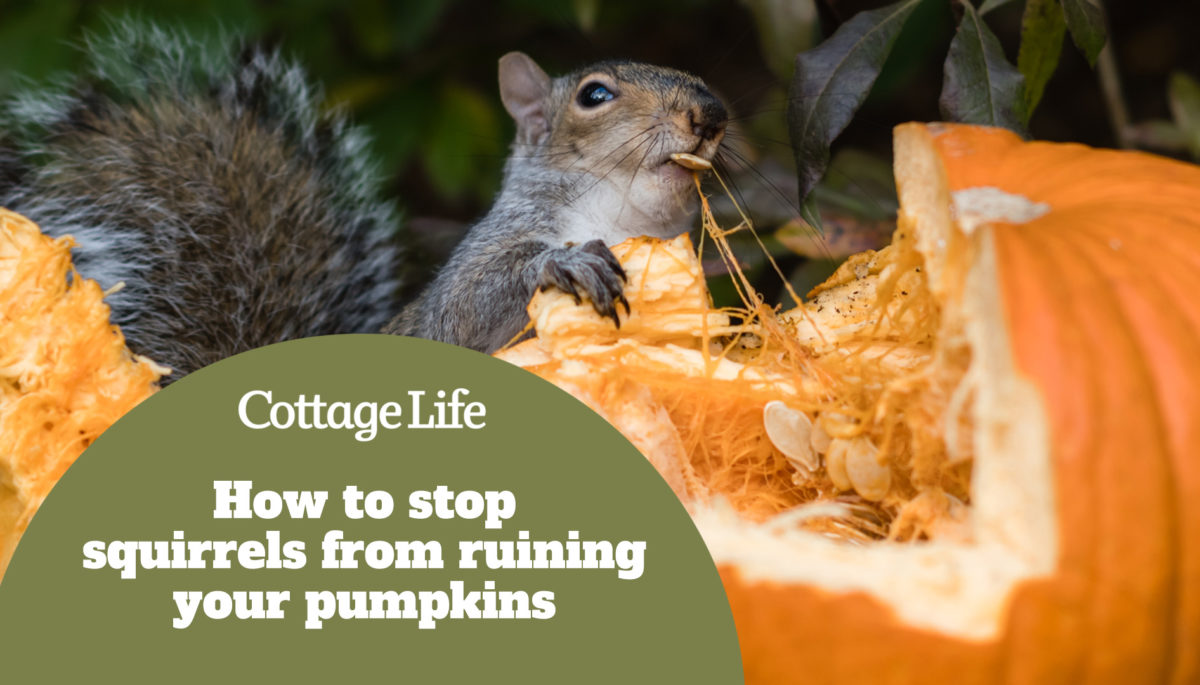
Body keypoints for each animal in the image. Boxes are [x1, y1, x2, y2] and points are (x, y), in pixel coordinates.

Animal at [0, 20, 727, 375]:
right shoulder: (478, 270)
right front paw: (568, 262)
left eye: (701, 78)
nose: (712, 112)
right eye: (594, 94)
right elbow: (470, 308)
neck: (618, 213)